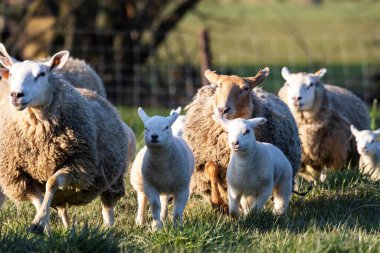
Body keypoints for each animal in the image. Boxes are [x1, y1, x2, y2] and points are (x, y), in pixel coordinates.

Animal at [0, 43, 131, 233]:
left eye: (42, 74)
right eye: (11, 74)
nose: (16, 95)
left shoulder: (79, 165)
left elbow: (52, 182)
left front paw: (38, 222)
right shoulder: (20, 178)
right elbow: (39, 201)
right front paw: (43, 227)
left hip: (112, 177)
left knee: (108, 207)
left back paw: (108, 230)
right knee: (62, 208)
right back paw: (68, 229)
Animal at [183, 67, 302, 211]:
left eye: (246, 88)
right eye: (218, 86)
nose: (222, 109)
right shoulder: (205, 162)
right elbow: (211, 167)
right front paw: (218, 201)